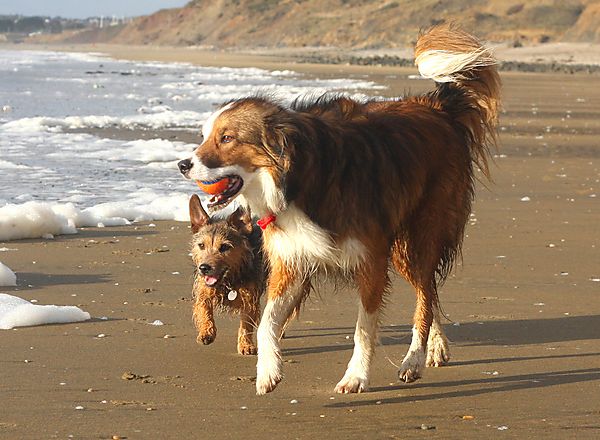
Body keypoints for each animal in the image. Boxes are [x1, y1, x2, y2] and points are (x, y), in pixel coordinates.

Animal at [178, 24, 502, 396]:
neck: (300, 178)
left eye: (227, 138)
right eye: (205, 136)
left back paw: (415, 359)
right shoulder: (291, 258)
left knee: (425, 293)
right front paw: (268, 371)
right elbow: (266, 322)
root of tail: (436, 108)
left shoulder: (370, 260)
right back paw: (436, 348)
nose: (183, 165)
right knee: (430, 293)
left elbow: (363, 328)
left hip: (415, 238)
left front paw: (356, 376)